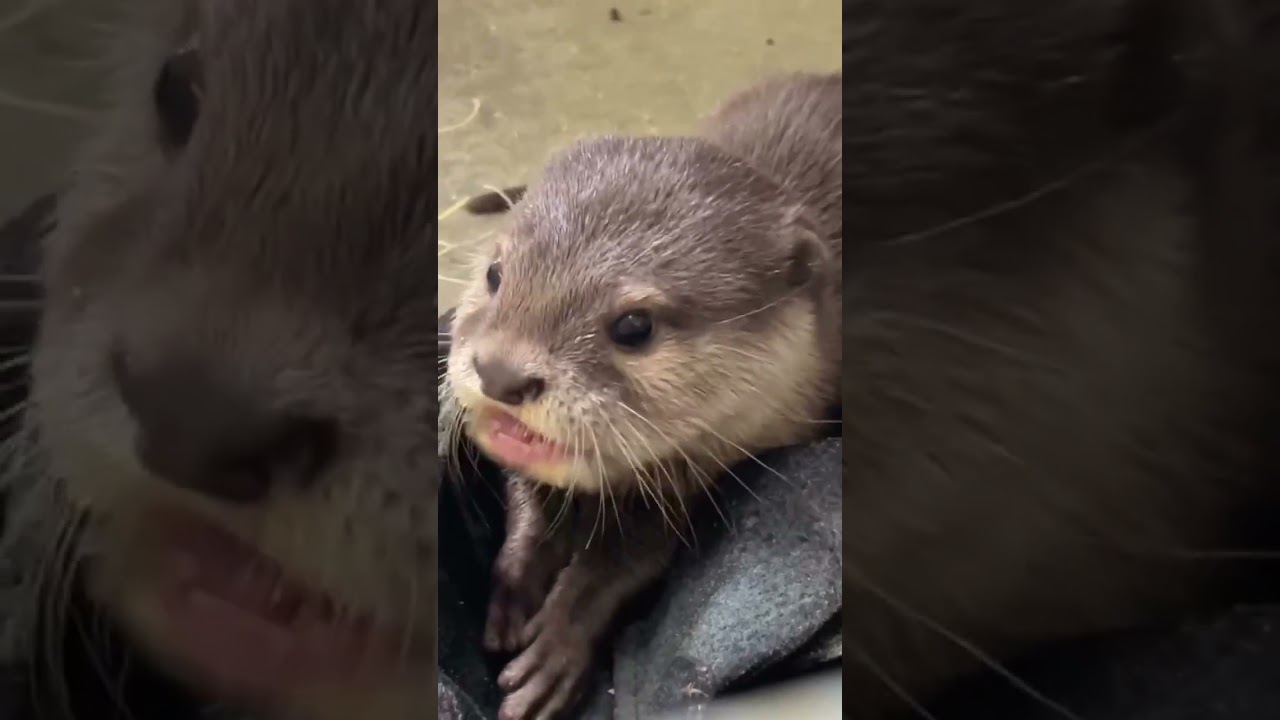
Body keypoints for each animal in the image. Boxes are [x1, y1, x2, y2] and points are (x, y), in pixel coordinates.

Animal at [444, 72, 842, 719]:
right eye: (495, 274)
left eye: (635, 326)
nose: (500, 374)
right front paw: (515, 583)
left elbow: (629, 561)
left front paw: (556, 644)